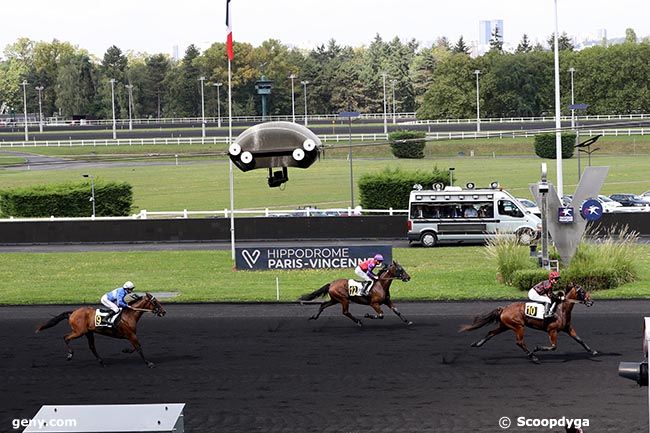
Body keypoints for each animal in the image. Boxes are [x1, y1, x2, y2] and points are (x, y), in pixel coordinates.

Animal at [35, 292, 166, 366]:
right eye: (155, 302)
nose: (163, 312)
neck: (128, 315)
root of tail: (73, 313)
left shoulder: (130, 335)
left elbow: (136, 347)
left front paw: (125, 350)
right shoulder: (130, 334)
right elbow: (138, 347)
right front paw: (148, 363)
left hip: (88, 333)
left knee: (92, 347)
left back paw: (101, 361)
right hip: (79, 332)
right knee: (66, 337)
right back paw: (70, 355)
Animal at [458, 284, 596, 362]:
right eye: (582, 291)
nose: (591, 302)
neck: (560, 309)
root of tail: (504, 308)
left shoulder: (567, 328)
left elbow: (579, 339)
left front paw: (592, 351)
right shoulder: (552, 330)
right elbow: (553, 346)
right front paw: (536, 348)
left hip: (505, 325)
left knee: (491, 332)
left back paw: (477, 344)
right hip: (518, 326)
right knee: (519, 342)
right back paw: (533, 356)